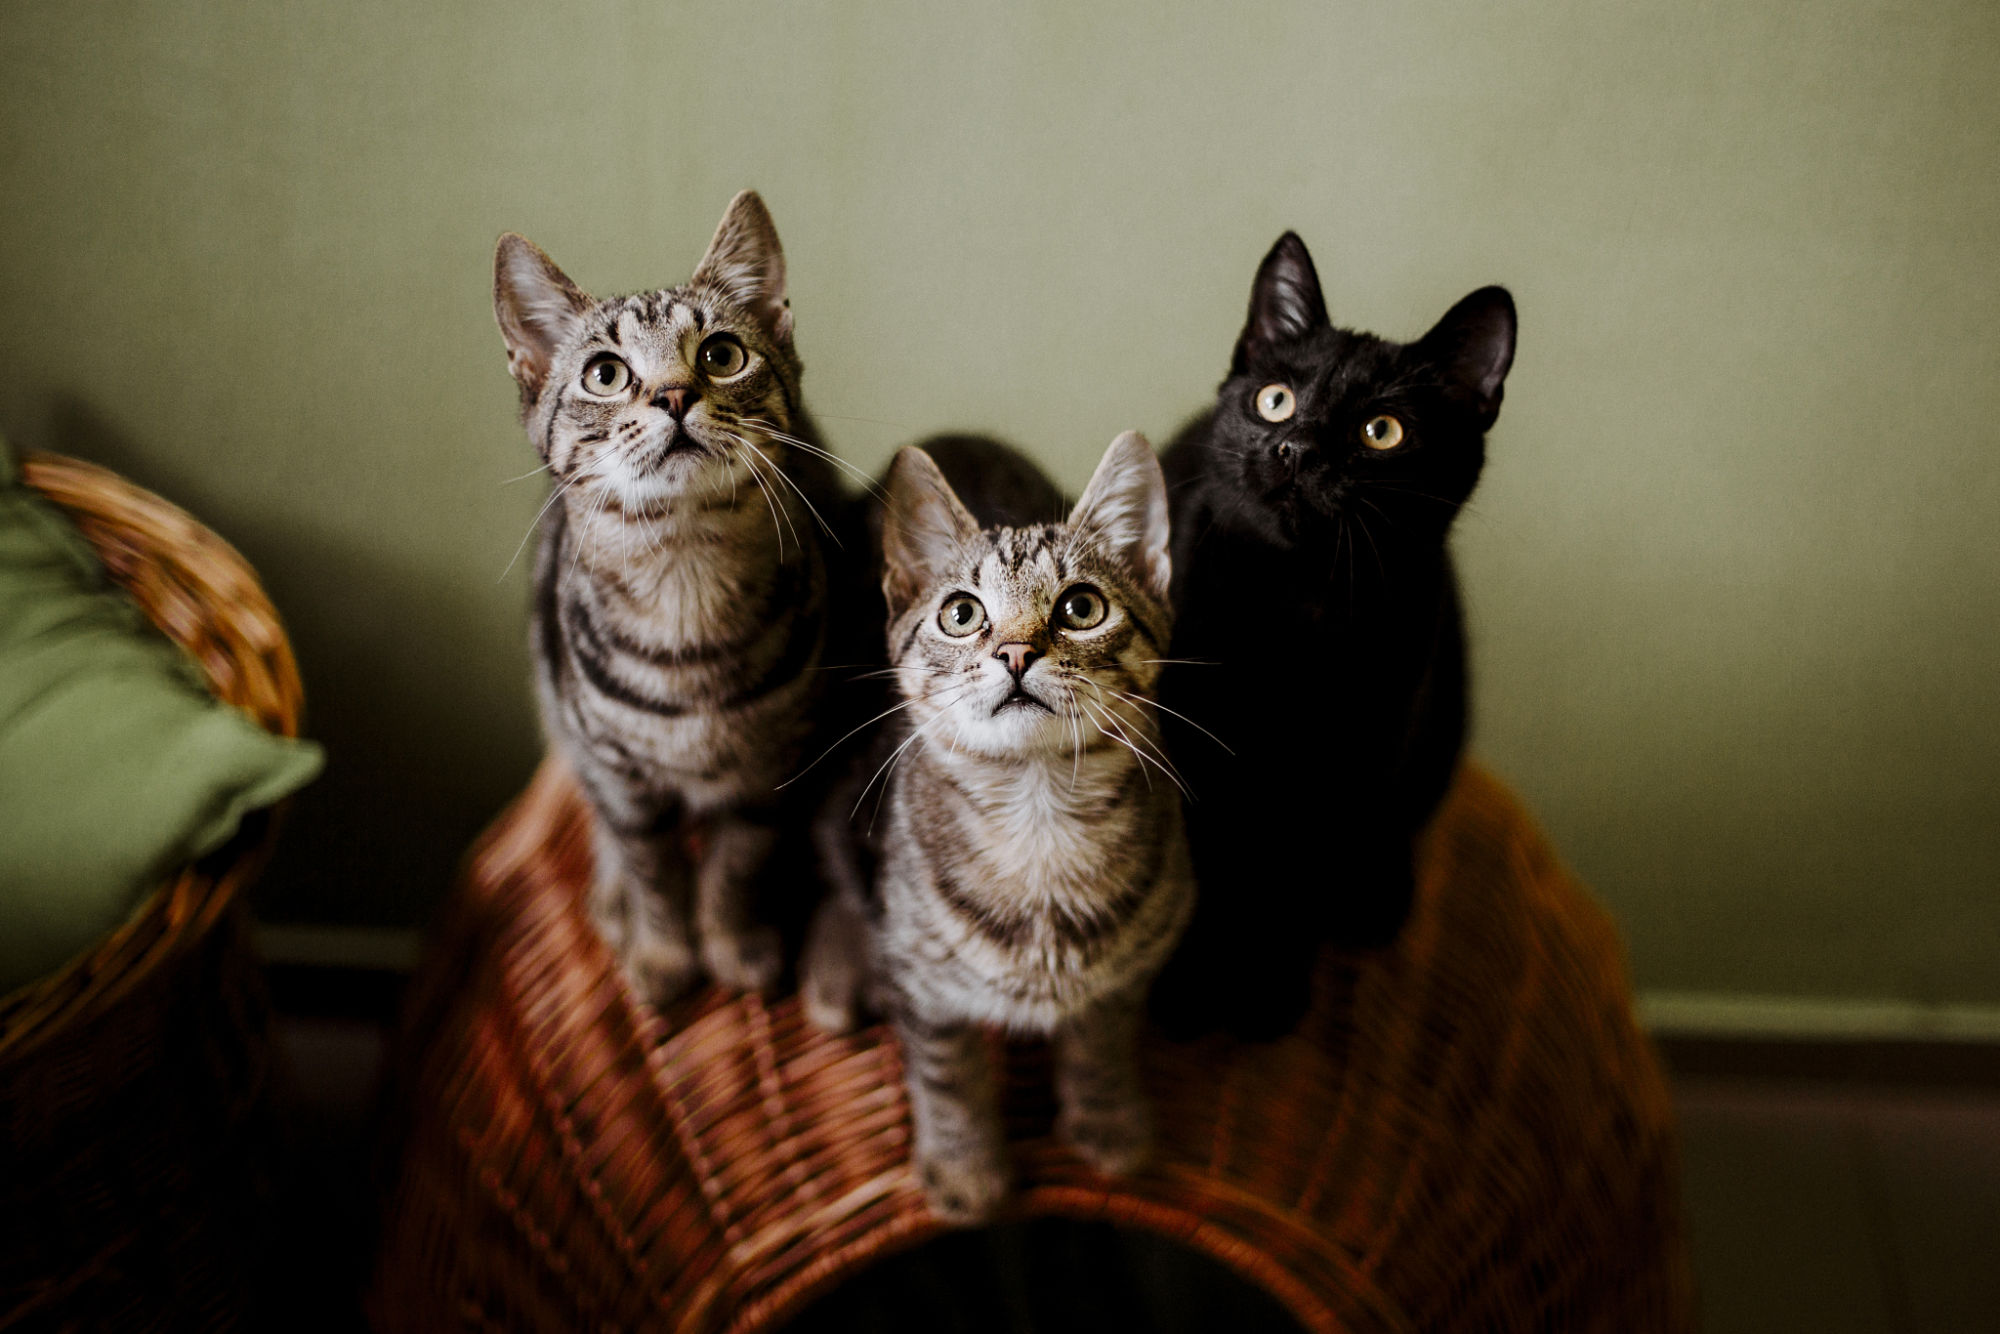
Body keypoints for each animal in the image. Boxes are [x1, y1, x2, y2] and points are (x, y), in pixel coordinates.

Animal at [493, 190, 856, 1007]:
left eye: (721, 355)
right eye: (604, 373)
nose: (674, 394)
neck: (684, 582)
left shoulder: (769, 771)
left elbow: (736, 865)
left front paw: (732, 943)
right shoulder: (619, 776)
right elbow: (653, 868)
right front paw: (663, 953)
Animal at [802, 432, 1193, 1223]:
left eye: (1082, 607)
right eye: (961, 613)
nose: (1015, 651)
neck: (1036, 818)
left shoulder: (1133, 965)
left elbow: (1104, 1041)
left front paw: (1107, 1118)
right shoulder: (924, 988)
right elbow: (947, 1074)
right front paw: (965, 1167)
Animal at [1148, 231, 1516, 1041]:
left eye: (1382, 432)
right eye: (1275, 400)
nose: (1296, 449)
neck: (1297, 605)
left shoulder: (1351, 761)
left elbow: (1296, 875)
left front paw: (1267, 994)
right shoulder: (1187, 745)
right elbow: (1202, 864)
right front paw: (1189, 986)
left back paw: (1374, 891)